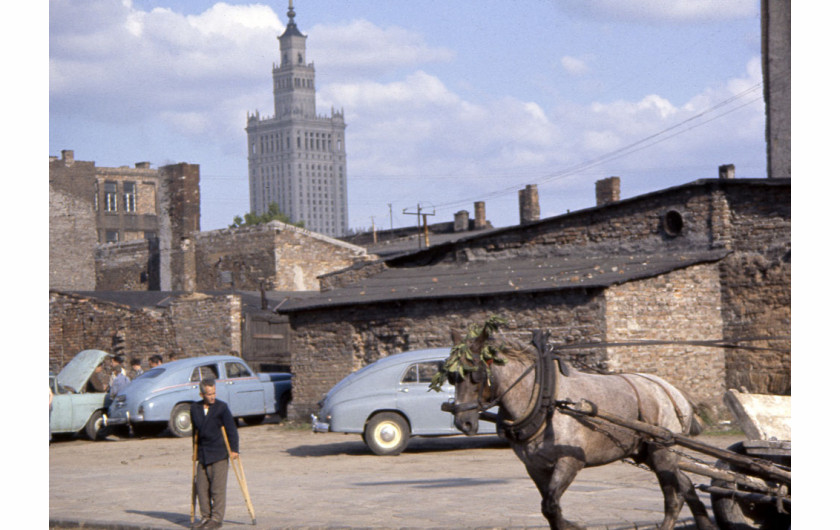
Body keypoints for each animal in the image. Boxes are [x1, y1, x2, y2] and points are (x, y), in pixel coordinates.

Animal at [436, 318, 720, 528]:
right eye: (450, 376)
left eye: (475, 375)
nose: (463, 423)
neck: (545, 399)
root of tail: (673, 391)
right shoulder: (535, 466)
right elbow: (549, 509)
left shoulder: (570, 462)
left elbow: (551, 506)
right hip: (648, 453)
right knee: (686, 485)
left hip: (663, 453)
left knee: (674, 498)